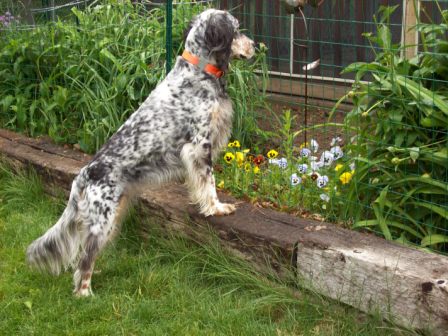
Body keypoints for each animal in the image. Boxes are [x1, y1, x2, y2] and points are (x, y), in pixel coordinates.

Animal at [26, 8, 256, 296]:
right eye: (236, 30)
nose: (255, 46)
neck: (198, 70)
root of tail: (83, 175)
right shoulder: (199, 144)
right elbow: (209, 182)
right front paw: (216, 208)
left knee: (82, 256)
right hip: (103, 221)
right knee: (84, 259)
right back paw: (85, 293)